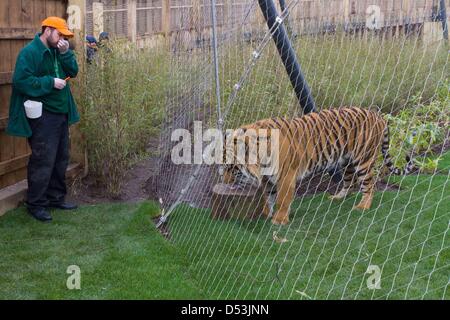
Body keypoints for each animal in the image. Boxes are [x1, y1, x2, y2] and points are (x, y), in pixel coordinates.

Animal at [222, 107, 414, 225]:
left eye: (232, 169)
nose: (224, 182)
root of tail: (378, 115)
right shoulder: (268, 179)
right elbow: (268, 197)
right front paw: (265, 214)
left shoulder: (286, 175)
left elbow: (282, 199)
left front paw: (279, 220)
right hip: (346, 161)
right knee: (350, 182)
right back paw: (337, 197)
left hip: (364, 160)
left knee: (369, 185)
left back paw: (363, 206)